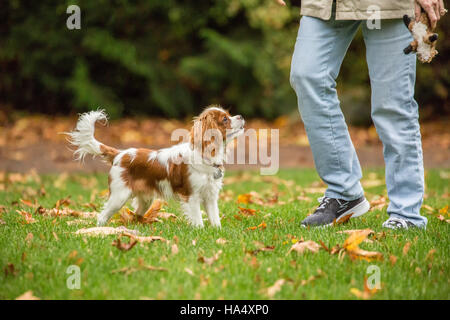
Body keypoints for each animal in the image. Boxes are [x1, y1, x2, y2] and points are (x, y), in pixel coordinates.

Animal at [67, 106, 246, 226]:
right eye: (225, 119)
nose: (241, 116)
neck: (206, 155)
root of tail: (120, 154)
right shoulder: (191, 196)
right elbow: (198, 220)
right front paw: (200, 231)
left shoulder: (210, 197)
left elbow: (215, 219)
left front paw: (216, 232)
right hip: (119, 196)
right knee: (102, 215)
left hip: (145, 201)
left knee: (135, 216)